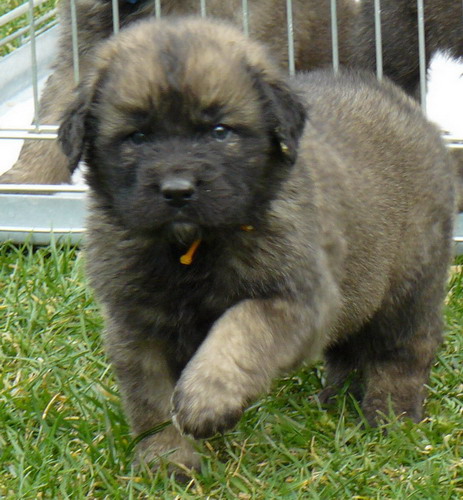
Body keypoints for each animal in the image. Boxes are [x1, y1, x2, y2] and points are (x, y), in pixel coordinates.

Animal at [57, 17, 454, 470]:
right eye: (137, 137)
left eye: (219, 131)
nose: (177, 190)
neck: (193, 248)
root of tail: (397, 99)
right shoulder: (136, 326)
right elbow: (150, 401)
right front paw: (166, 462)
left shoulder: (296, 300)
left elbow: (240, 330)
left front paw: (206, 401)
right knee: (351, 349)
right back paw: (336, 399)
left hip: (409, 280)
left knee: (405, 348)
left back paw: (392, 412)